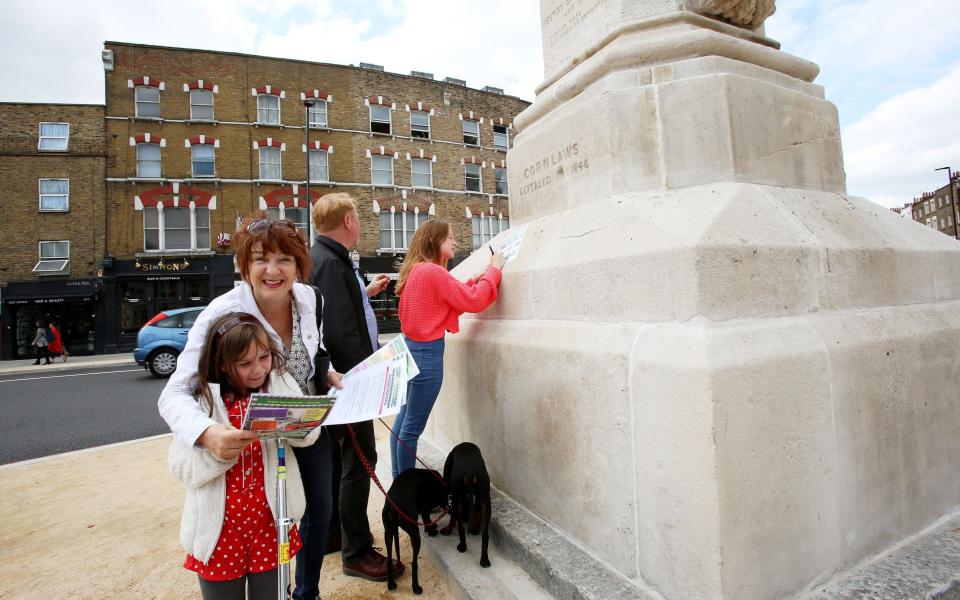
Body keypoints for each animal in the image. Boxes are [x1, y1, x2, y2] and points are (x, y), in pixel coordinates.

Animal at [380, 468, 448, 596]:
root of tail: (394, 506)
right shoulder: (426, 508)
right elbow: (427, 518)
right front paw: (432, 531)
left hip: (388, 532)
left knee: (389, 560)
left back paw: (391, 584)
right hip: (414, 534)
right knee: (414, 563)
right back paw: (416, 587)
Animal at [440, 440, 492, 568]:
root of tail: (469, 470)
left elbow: (453, 517)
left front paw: (447, 529)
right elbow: (477, 510)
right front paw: (475, 528)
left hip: (456, 495)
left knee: (461, 528)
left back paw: (462, 547)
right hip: (485, 497)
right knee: (485, 534)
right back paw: (484, 560)